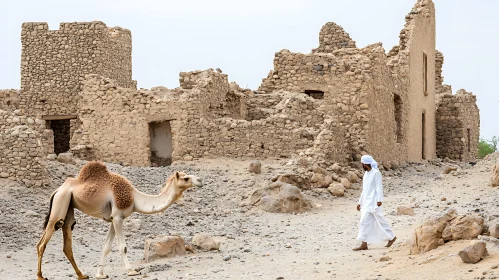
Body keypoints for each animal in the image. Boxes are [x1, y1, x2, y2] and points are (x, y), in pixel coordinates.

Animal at [35, 161, 204, 278]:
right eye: (186, 178)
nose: (200, 180)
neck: (135, 198)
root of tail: (57, 190)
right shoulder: (117, 217)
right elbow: (123, 246)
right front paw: (132, 271)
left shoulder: (113, 218)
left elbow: (106, 246)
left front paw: (100, 274)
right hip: (60, 203)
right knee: (43, 241)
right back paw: (40, 276)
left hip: (68, 206)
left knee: (66, 240)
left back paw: (82, 275)